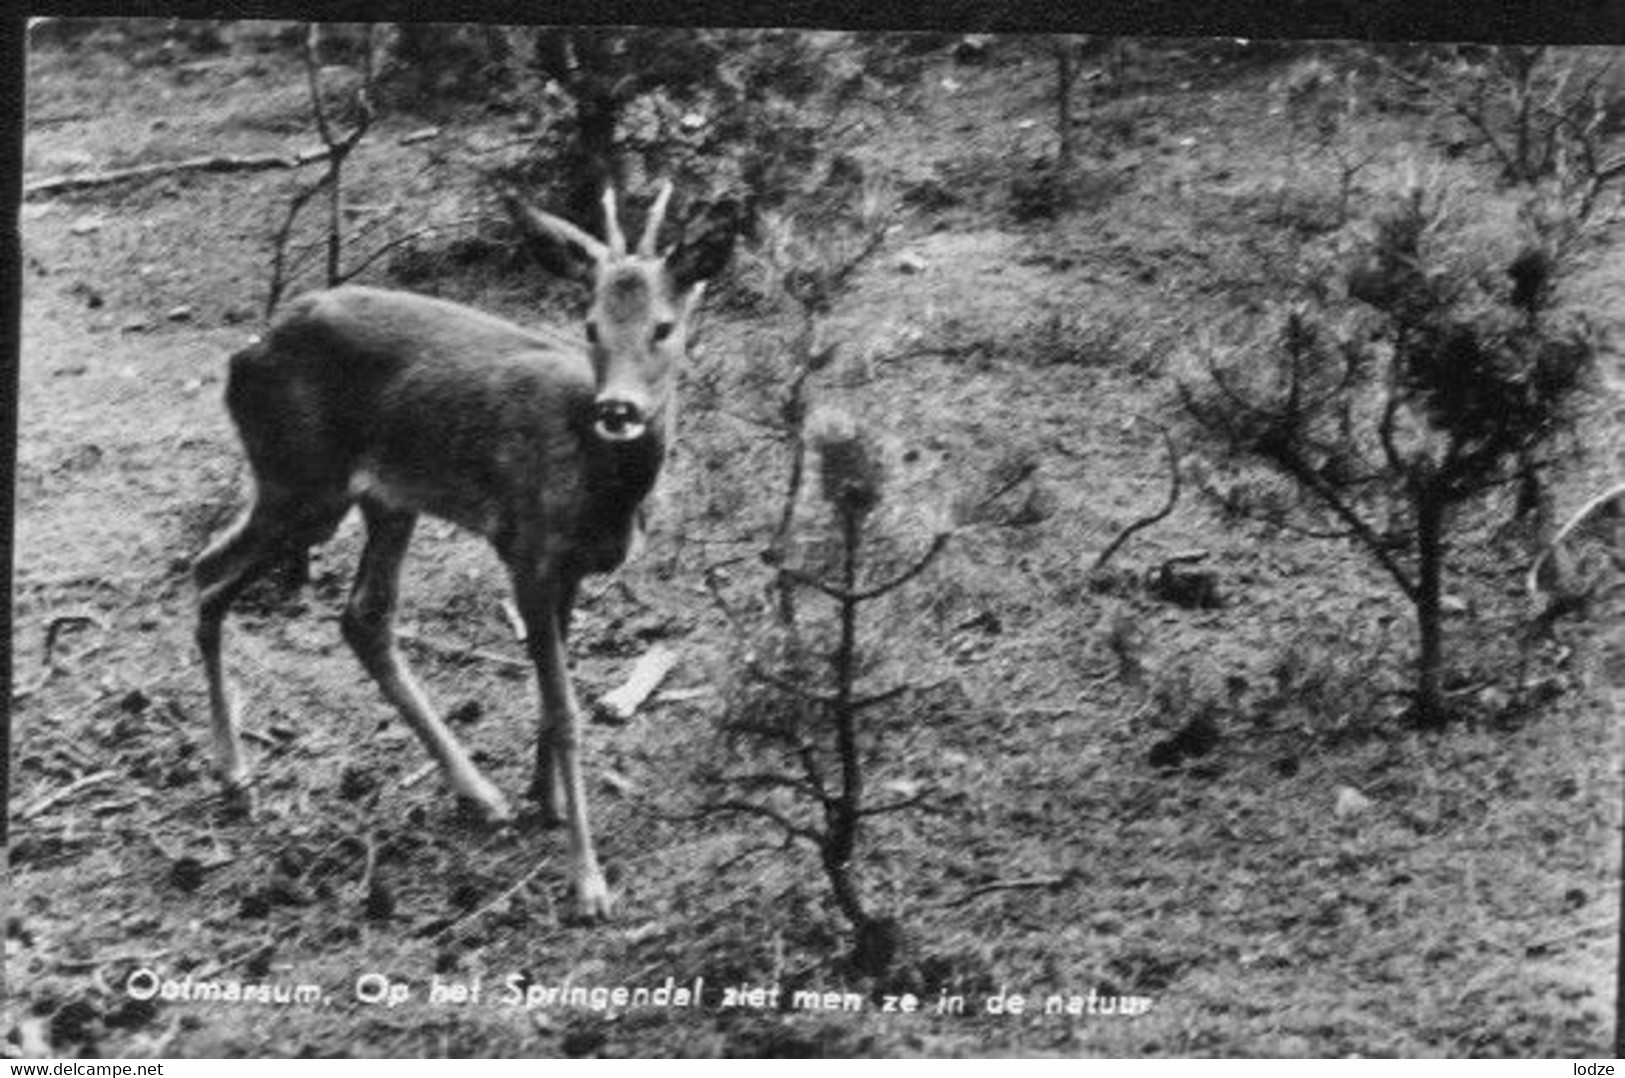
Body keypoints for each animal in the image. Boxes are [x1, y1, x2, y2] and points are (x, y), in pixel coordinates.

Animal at [193, 183, 741, 917]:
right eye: (591, 324)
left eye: (663, 327)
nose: (618, 410)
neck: (602, 489)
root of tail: (245, 355)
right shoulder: (525, 548)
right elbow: (565, 710)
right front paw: (587, 881)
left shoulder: (567, 569)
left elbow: (550, 697)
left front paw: (546, 801)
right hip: (301, 480)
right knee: (208, 572)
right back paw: (235, 773)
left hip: (382, 499)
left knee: (361, 615)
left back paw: (477, 793)